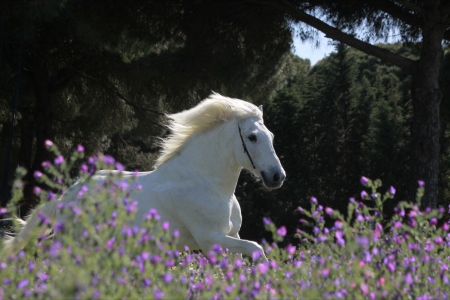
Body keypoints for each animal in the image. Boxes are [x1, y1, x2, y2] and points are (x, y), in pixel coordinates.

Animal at [2, 94, 284, 260]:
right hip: (75, 242)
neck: (209, 185)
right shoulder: (210, 239)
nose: (277, 177)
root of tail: (68, 195)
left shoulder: (230, 237)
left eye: (271, 135)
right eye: (252, 137)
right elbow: (257, 249)